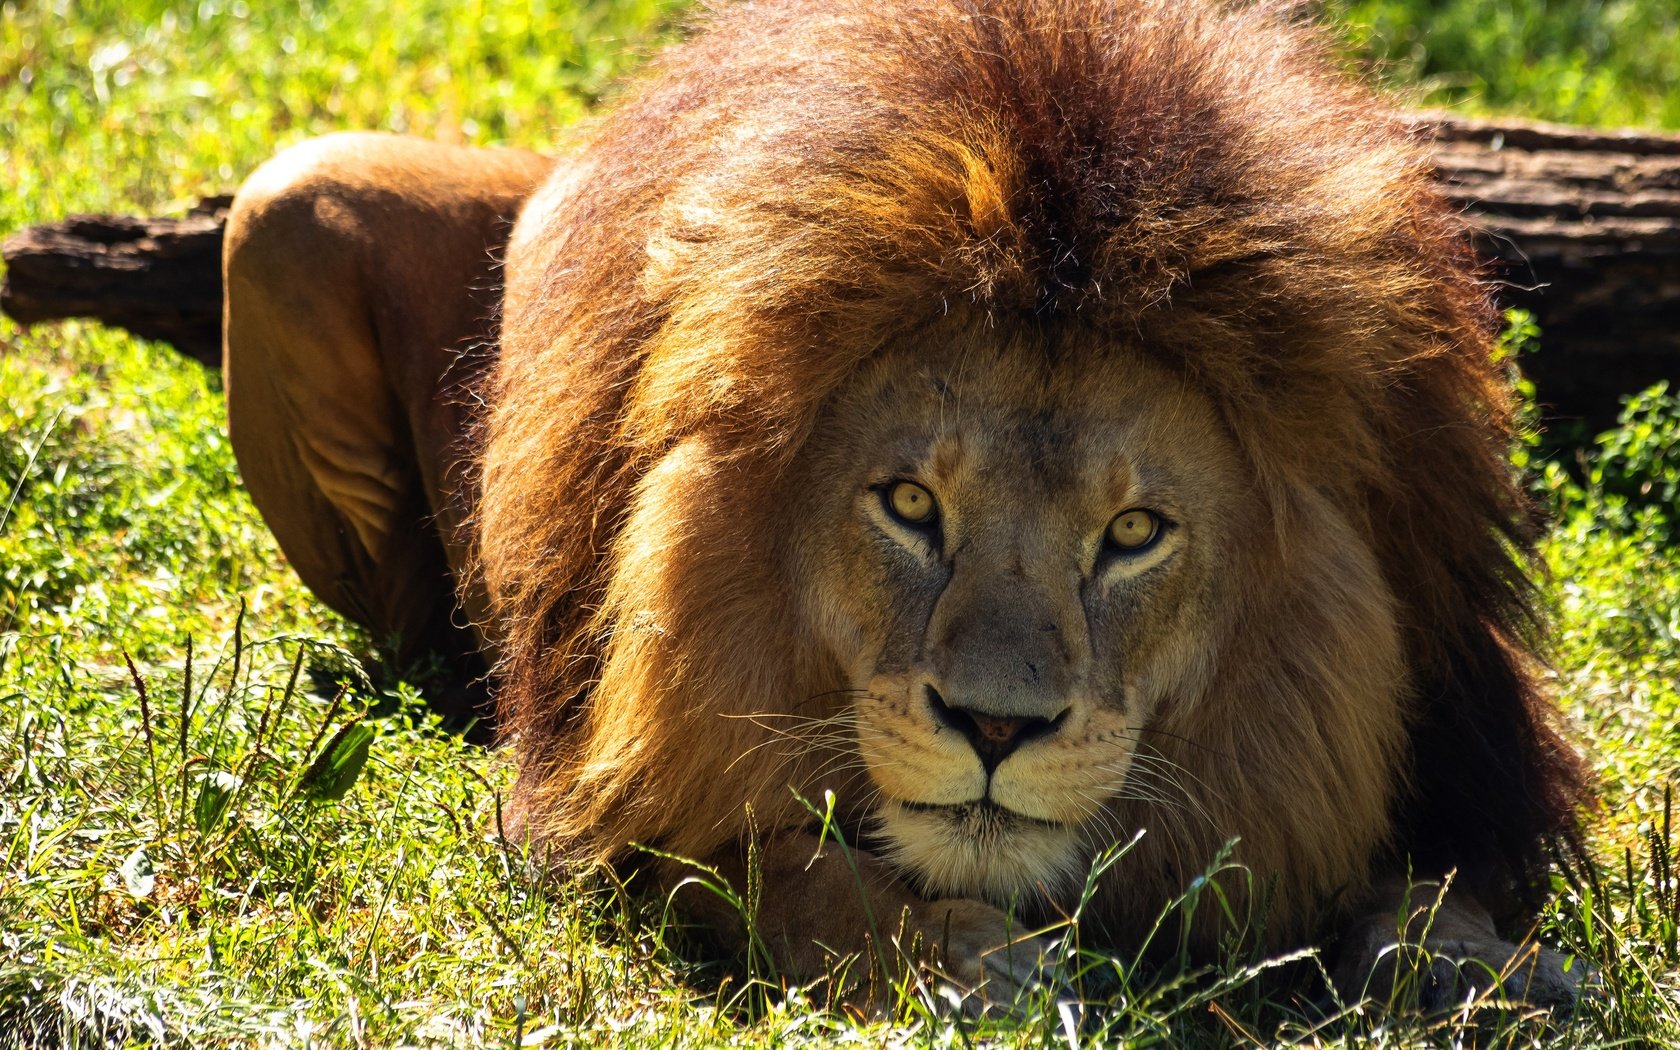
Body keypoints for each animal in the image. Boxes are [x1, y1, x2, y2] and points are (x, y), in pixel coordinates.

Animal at [220, 0, 1585, 1007]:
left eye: (1133, 534)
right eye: (911, 505)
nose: (995, 727)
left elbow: (1435, 885)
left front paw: (1479, 965)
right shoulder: (605, 808)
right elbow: (786, 874)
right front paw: (970, 961)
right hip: (286, 211)